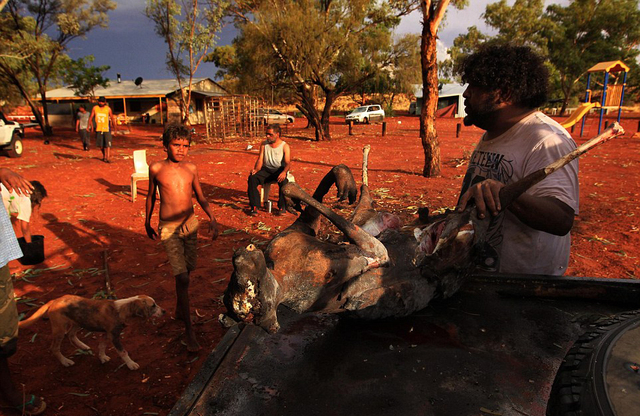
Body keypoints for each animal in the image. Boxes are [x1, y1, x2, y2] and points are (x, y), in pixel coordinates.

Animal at [19, 294, 165, 368]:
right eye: (153, 306)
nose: (164, 311)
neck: (121, 309)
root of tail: (54, 300)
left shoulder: (107, 334)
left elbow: (101, 346)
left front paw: (102, 357)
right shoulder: (114, 336)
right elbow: (123, 352)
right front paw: (131, 364)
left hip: (78, 322)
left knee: (71, 335)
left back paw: (83, 346)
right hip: (59, 329)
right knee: (54, 348)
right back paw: (65, 362)